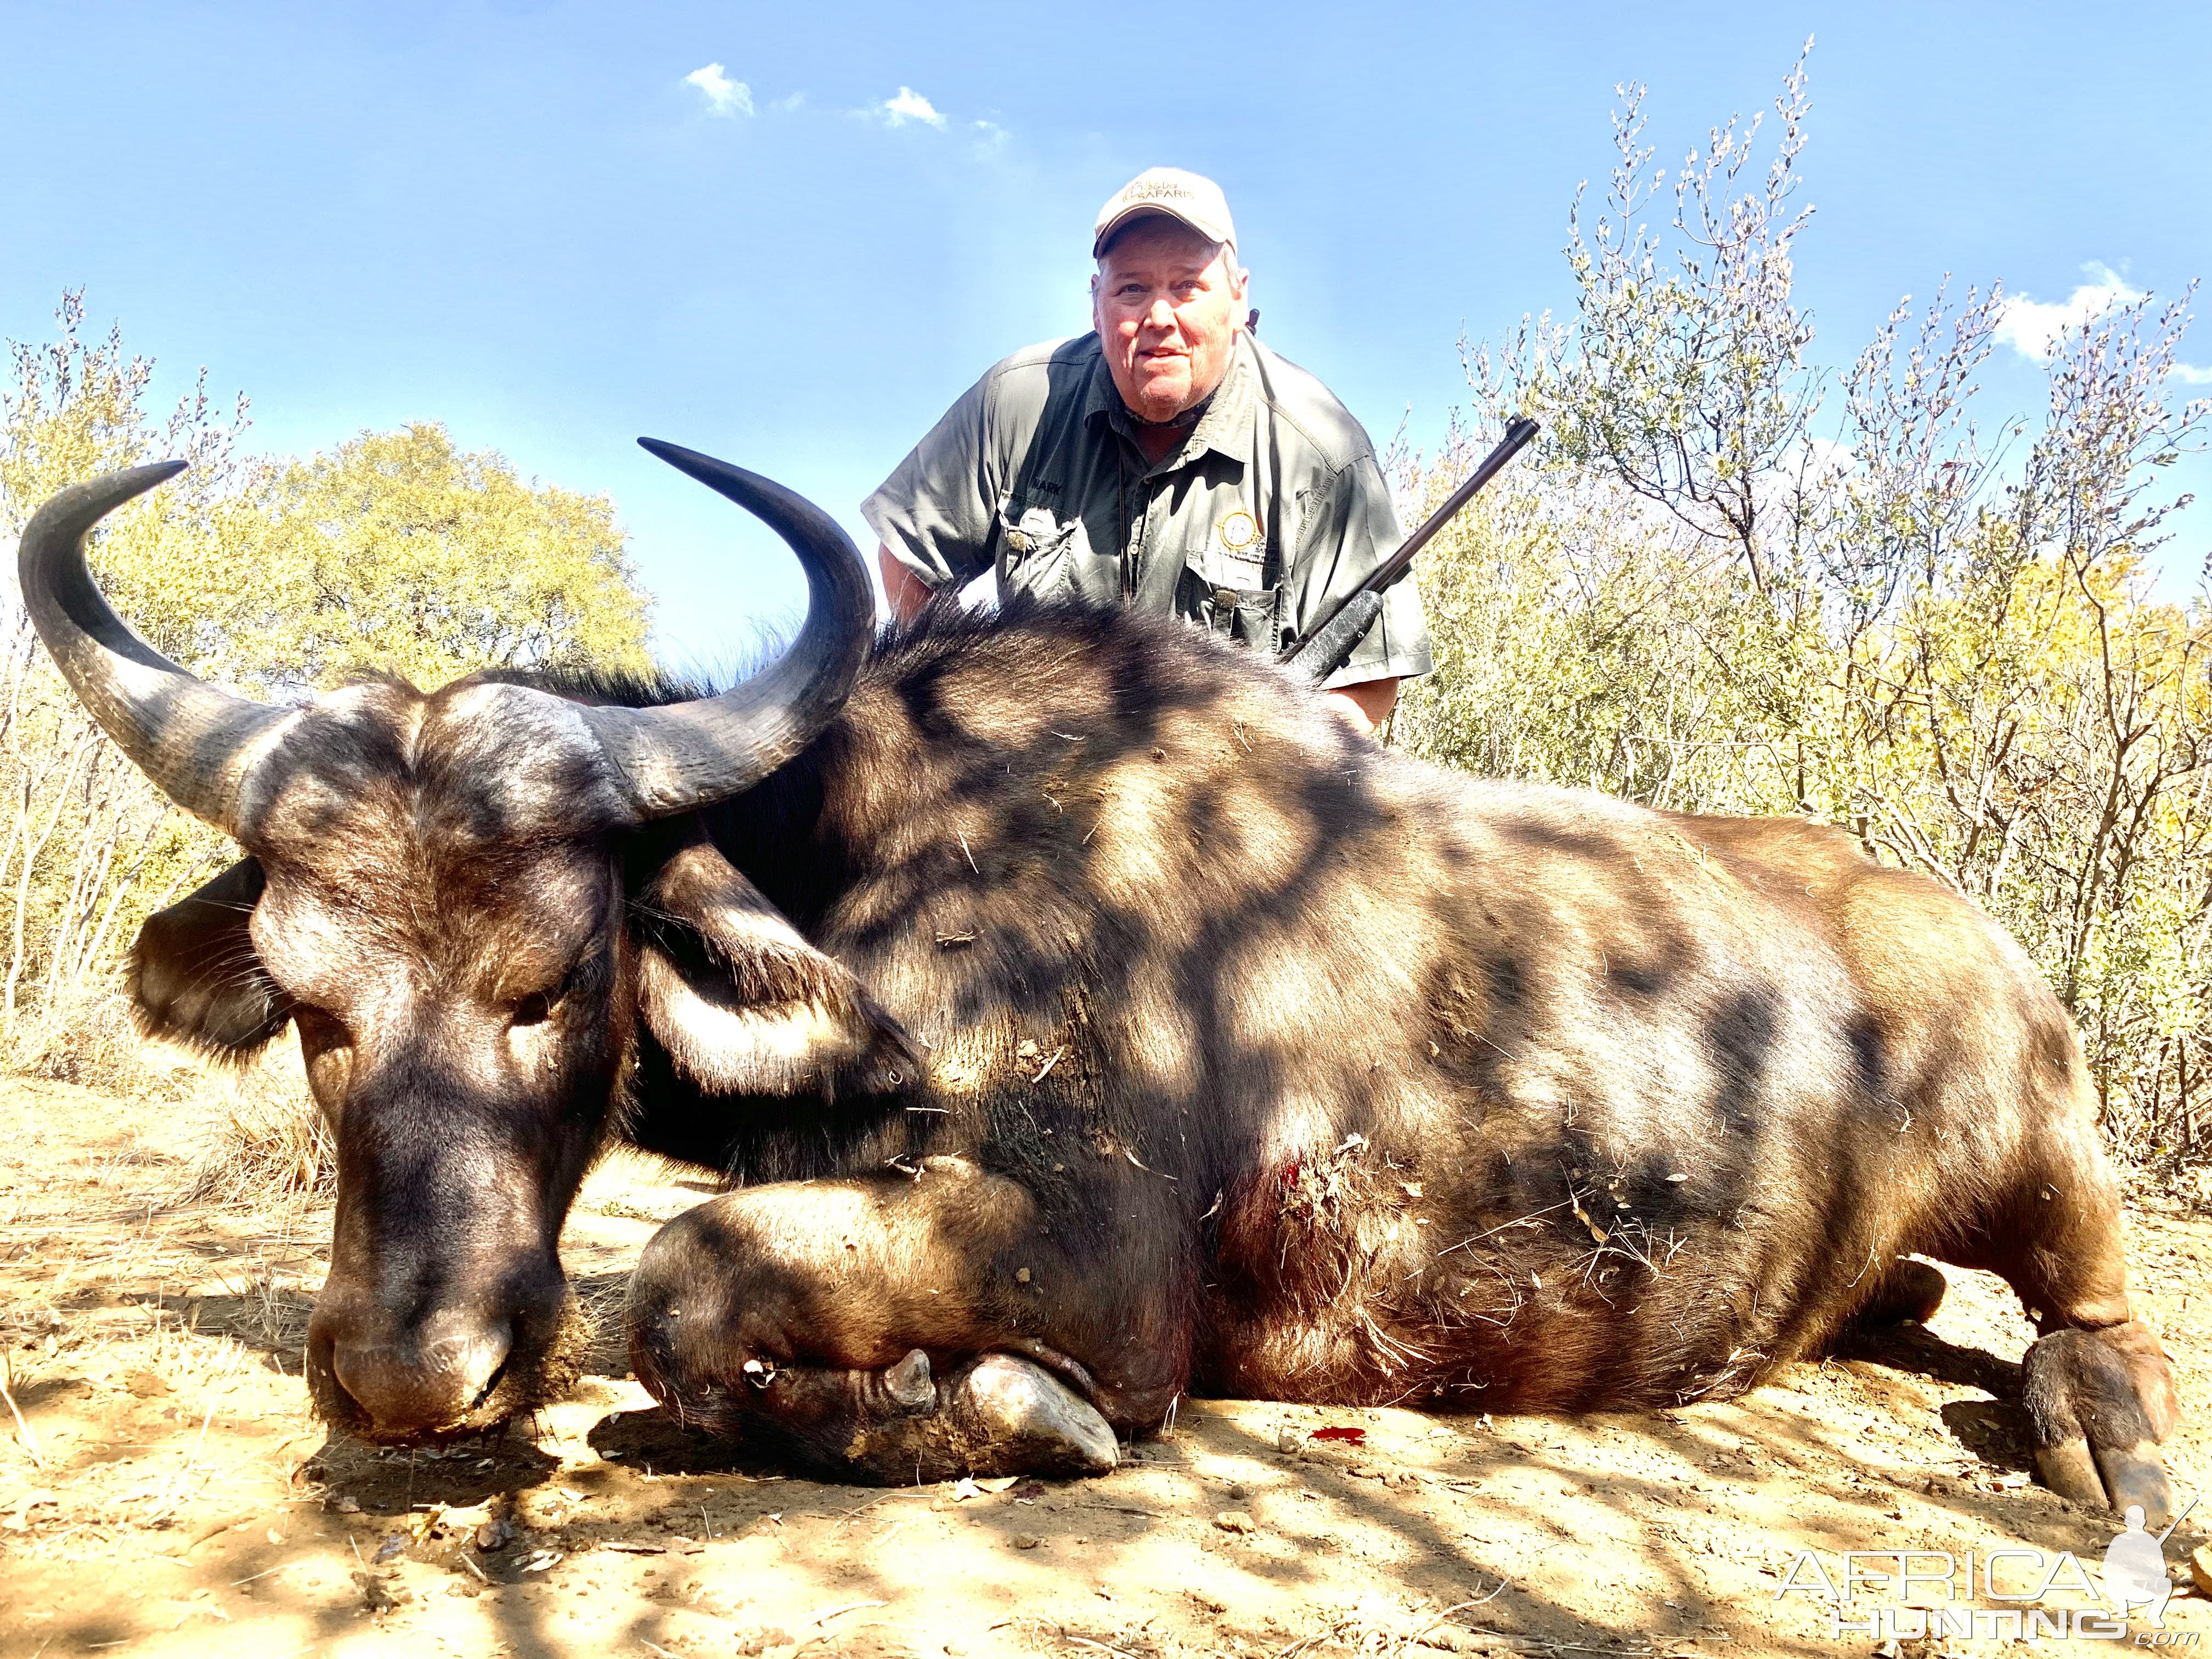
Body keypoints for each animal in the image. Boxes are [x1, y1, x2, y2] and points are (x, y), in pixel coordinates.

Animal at [17, 444, 2176, 1522]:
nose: (409, 1372)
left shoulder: (1095, 1250)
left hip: (2049, 1162)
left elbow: (690, 1289)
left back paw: (2110, 1437)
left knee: (2096, 1308)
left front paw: (1017, 1413)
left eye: (552, 979)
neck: (880, 851)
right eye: (309, 1003)